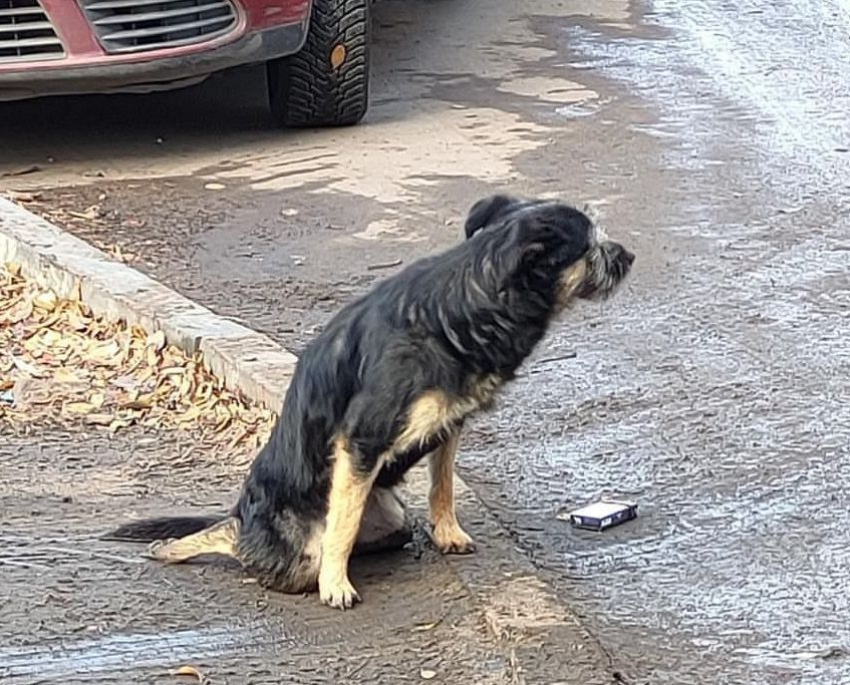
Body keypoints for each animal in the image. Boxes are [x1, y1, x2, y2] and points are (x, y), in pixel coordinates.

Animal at [104, 192, 628, 608]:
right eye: (592, 247)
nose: (630, 255)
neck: (467, 302)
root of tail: (238, 514)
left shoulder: (448, 426)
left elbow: (442, 485)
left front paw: (448, 533)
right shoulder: (361, 441)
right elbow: (342, 524)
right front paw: (336, 585)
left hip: (393, 515)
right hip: (295, 539)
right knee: (250, 543)